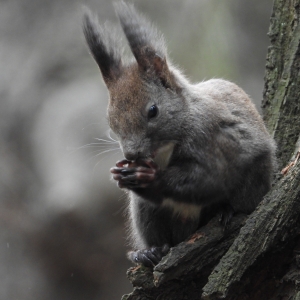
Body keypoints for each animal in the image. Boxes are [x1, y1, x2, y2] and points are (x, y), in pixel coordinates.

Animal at [82, 2, 276, 268]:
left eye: (153, 111)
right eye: (110, 120)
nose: (131, 154)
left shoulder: (215, 140)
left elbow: (208, 178)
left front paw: (152, 178)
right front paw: (121, 174)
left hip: (252, 181)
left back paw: (226, 211)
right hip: (145, 211)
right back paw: (147, 252)